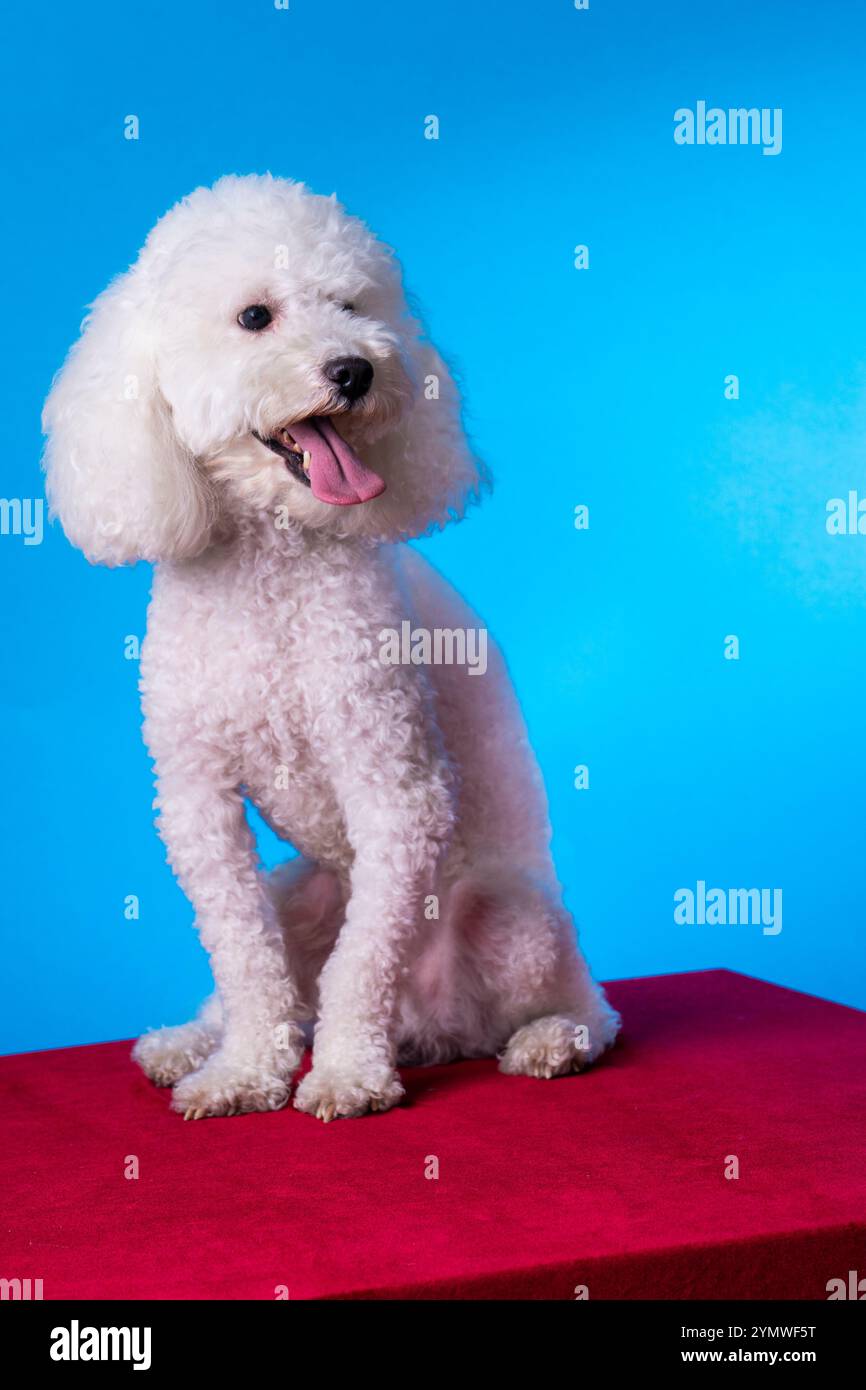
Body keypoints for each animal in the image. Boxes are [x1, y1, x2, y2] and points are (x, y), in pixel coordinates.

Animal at [44, 173, 619, 1117]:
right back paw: (189, 1041)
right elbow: (243, 958)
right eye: (255, 317)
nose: (356, 369)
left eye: (352, 305)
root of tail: (434, 1031)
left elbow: (363, 963)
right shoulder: (197, 801)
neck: (270, 560)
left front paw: (348, 1070)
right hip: (299, 890)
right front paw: (244, 1069)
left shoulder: (396, 789)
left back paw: (548, 1040)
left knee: (586, 1006)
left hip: (515, 920)